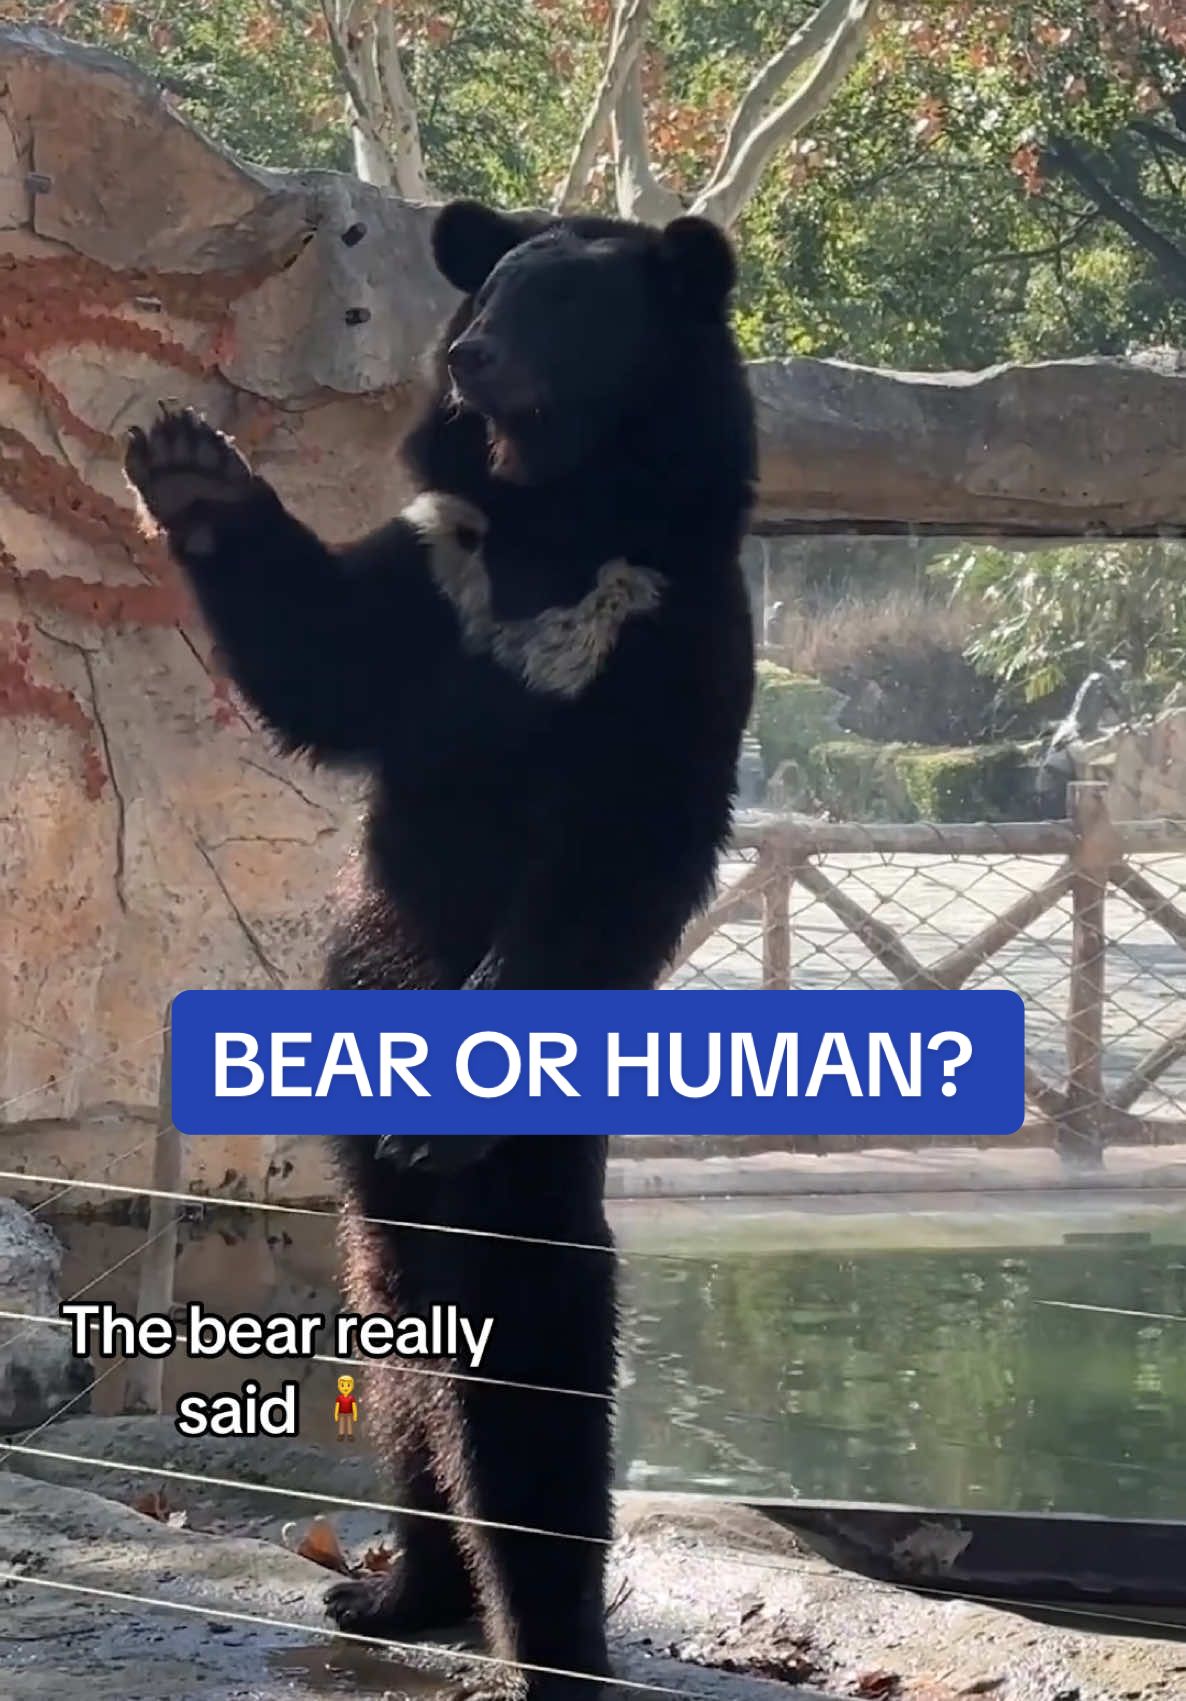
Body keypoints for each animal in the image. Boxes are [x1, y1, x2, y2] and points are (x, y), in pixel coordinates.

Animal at [125, 202, 755, 1701]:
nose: (470, 358)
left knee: (524, 1319)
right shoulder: (437, 567)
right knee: (399, 1311)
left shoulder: (660, 636)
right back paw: (396, 1587)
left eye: (566, 308)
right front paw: (189, 460)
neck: (557, 510)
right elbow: (326, 662)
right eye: (495, 291)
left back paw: (545, 1639)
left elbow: (605, 858)